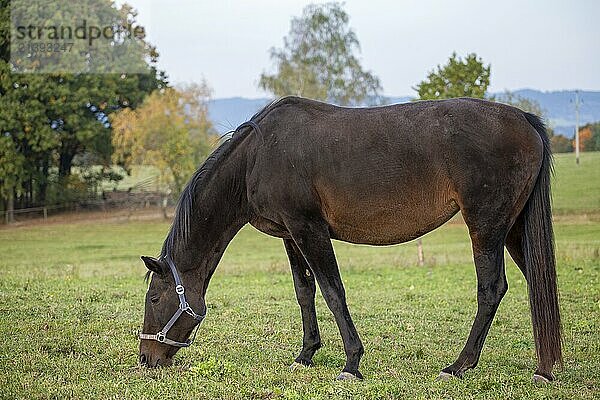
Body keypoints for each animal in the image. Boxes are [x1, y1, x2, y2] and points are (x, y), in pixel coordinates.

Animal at [139, 96, 564, 382]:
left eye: (155, 298)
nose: (146, 358)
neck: (256, 159)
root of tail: (524, 119)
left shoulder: (309, 228)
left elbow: (332, 291)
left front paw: (352, 363)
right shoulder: (291, 234)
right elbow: (304, 291)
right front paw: (306, 354)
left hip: (486, 226)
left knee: (492, 289)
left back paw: (459, 366)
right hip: (512, 228)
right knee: (537, 283)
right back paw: (544, 369)